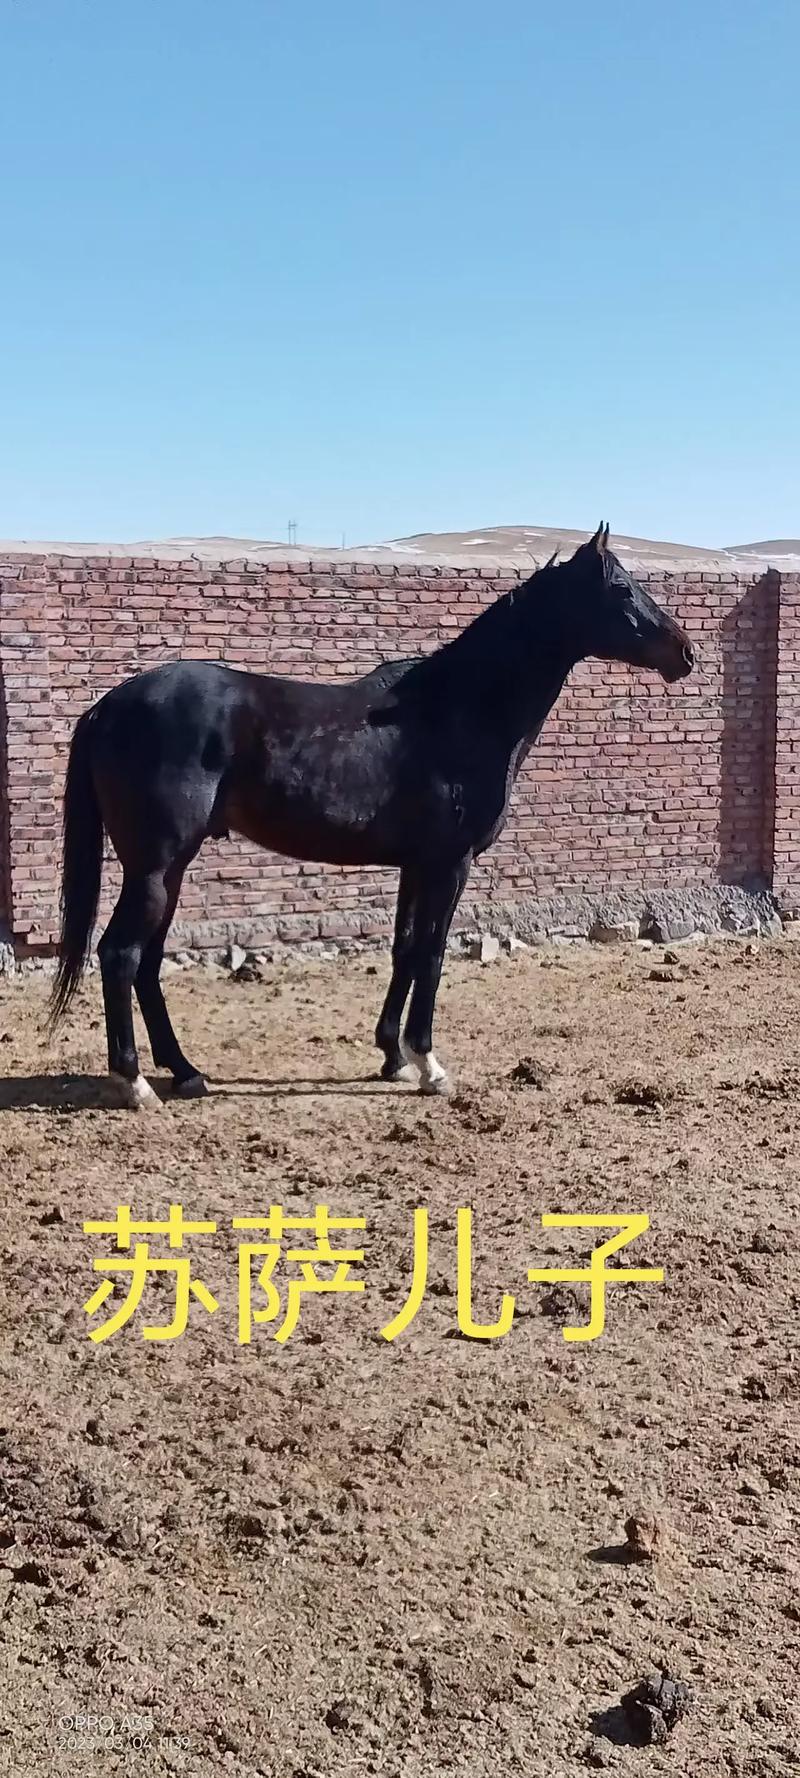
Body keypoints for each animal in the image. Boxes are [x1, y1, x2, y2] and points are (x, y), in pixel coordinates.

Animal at [48, 524, 694, 1109]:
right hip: (155, 869)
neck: (458, 710)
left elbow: (403, 949)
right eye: (620, 587)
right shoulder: (450, 864)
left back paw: (185, 1072)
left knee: (147, 963)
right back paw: (134, 1083)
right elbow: (432, 954)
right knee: (121, 955)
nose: (685, 653)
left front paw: (392, 1057)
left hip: (172, 869)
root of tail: (106, 707)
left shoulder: (415, 865)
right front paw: (430, 1065)